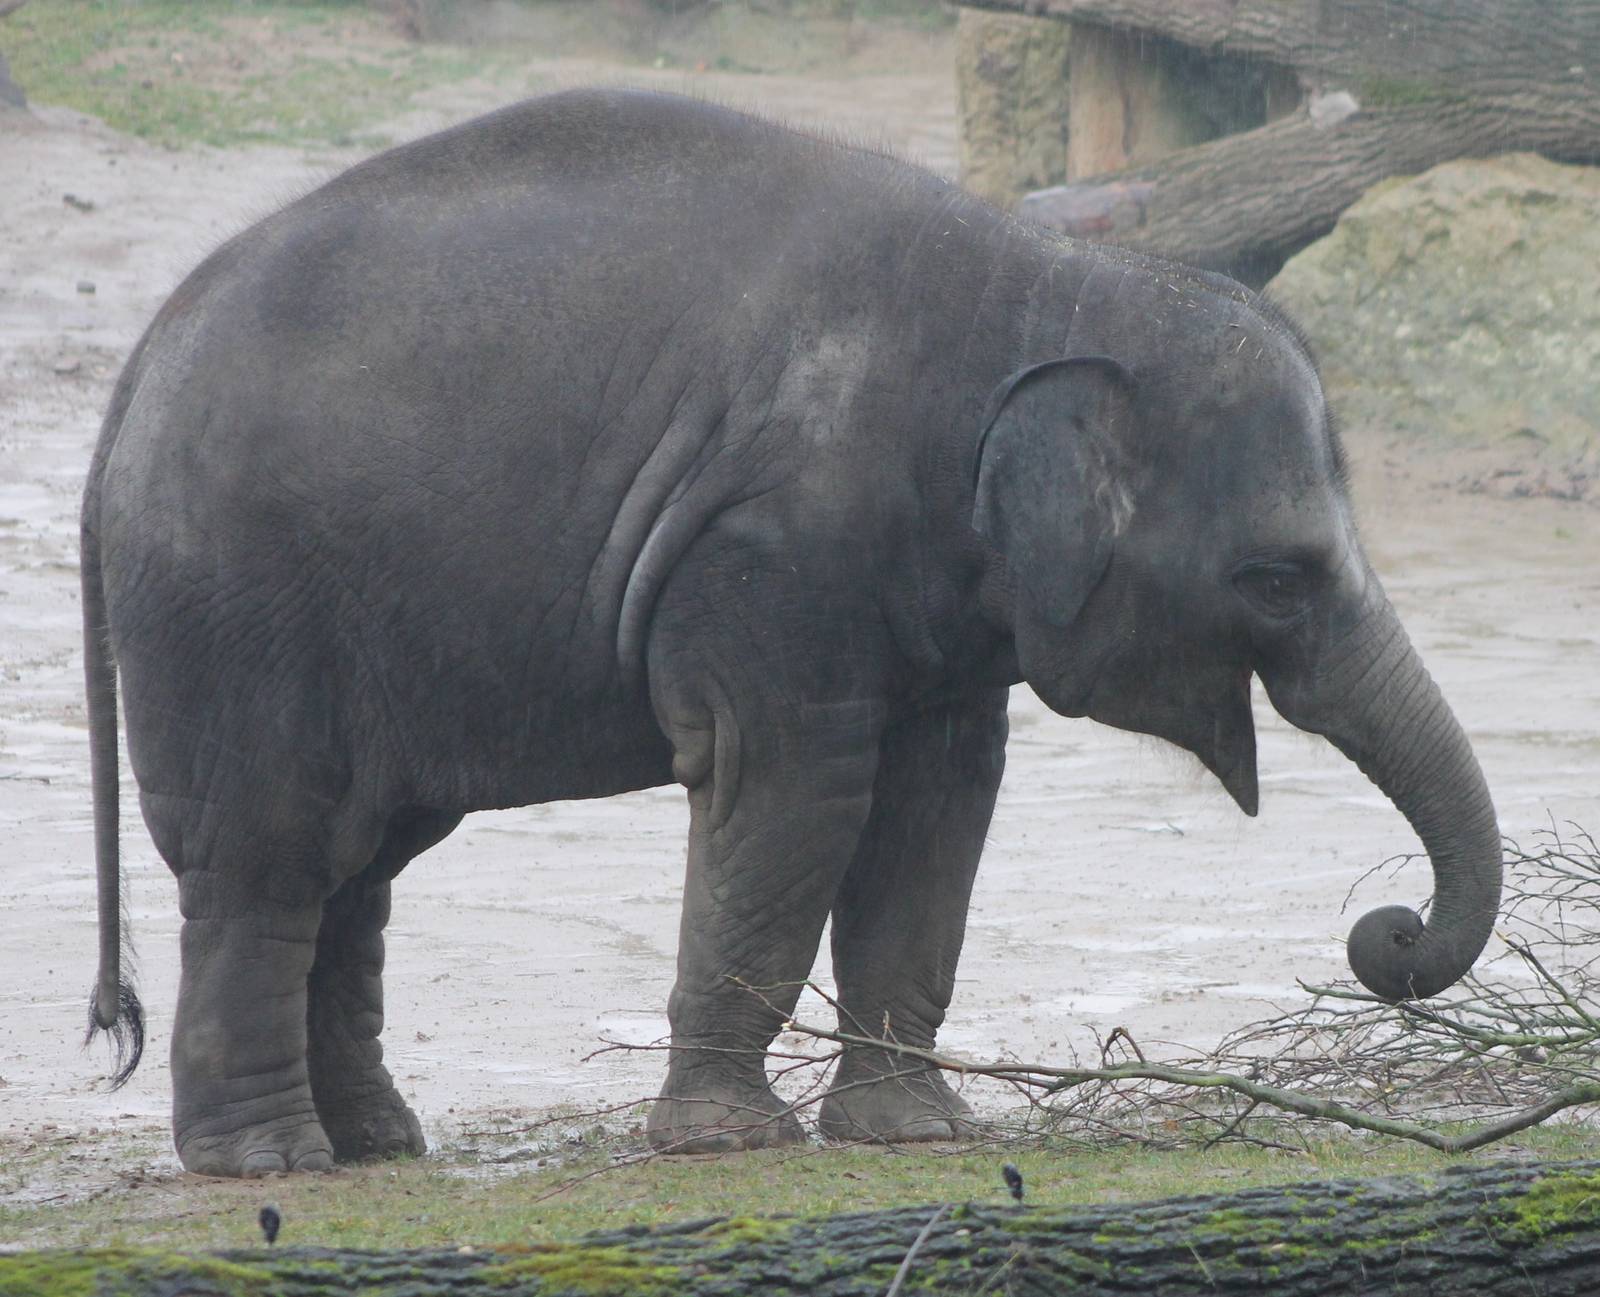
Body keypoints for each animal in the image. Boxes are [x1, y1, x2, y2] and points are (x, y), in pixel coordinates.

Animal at [82, 89, 1501, 1177]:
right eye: (1276, 579)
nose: (1385, 932)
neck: (1048, 287)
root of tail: (139, 364)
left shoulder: (935, 588)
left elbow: (937, 810)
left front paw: (914, 1134)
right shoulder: (771, 553)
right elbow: (792, 793)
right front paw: (727, 1143)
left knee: (359, 863)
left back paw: (378, 1143)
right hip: (237, 613)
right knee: (273, 856)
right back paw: (270, 1163)